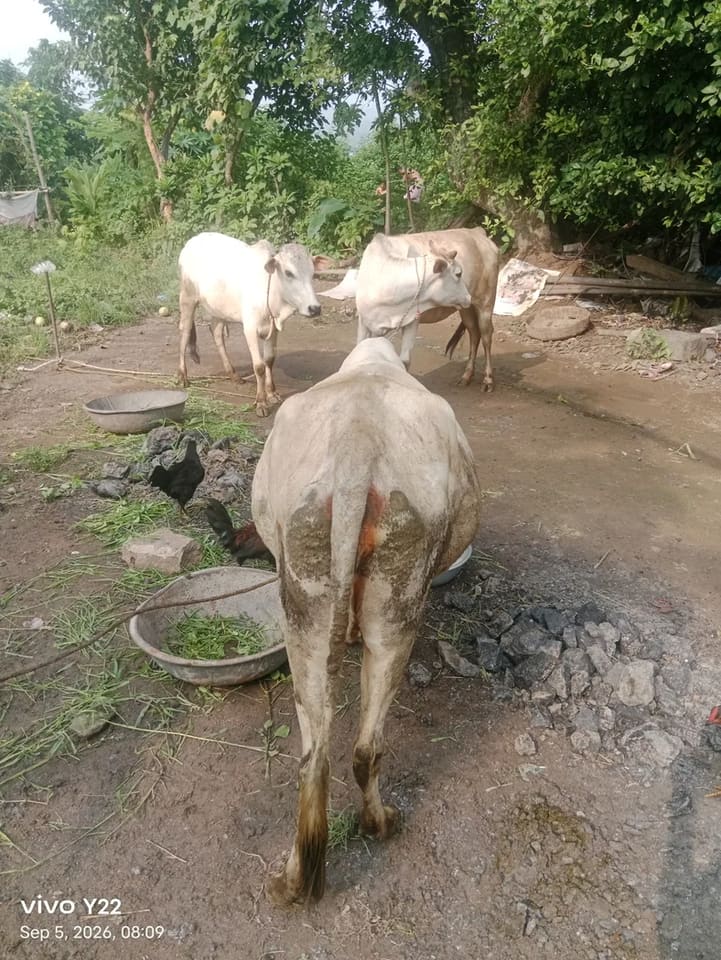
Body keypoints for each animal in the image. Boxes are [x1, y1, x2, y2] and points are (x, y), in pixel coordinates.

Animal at [177, 232, 327, 417]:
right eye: (289, 273)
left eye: (312, 273)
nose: (314, 308)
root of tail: (192, 241)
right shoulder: (249, 329)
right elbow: (259, 366)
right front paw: (261, 402)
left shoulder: (274, 329)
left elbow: (269, 360)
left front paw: (272, 393)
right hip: (187, 298)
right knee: (184, 334)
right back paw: (182, 376)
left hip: (218, 310)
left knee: (217, 333)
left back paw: (233, 375)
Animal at [233, 336, 481, 904]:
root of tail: (356, 451)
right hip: (401, 583)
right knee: (368, 744)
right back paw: (381, 823)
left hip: (302, 578)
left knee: (314, 756)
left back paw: (293, 881)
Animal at [356, 227, 500, 391]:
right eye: (458, 273)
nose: (467, 296)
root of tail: (477, 231)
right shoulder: (364, 321)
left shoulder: (412, 320)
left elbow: (404, 360)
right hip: (466, 309)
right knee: (474, 333)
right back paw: (466, 376)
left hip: (485, 302)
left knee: (486, 336)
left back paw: (488, 380)